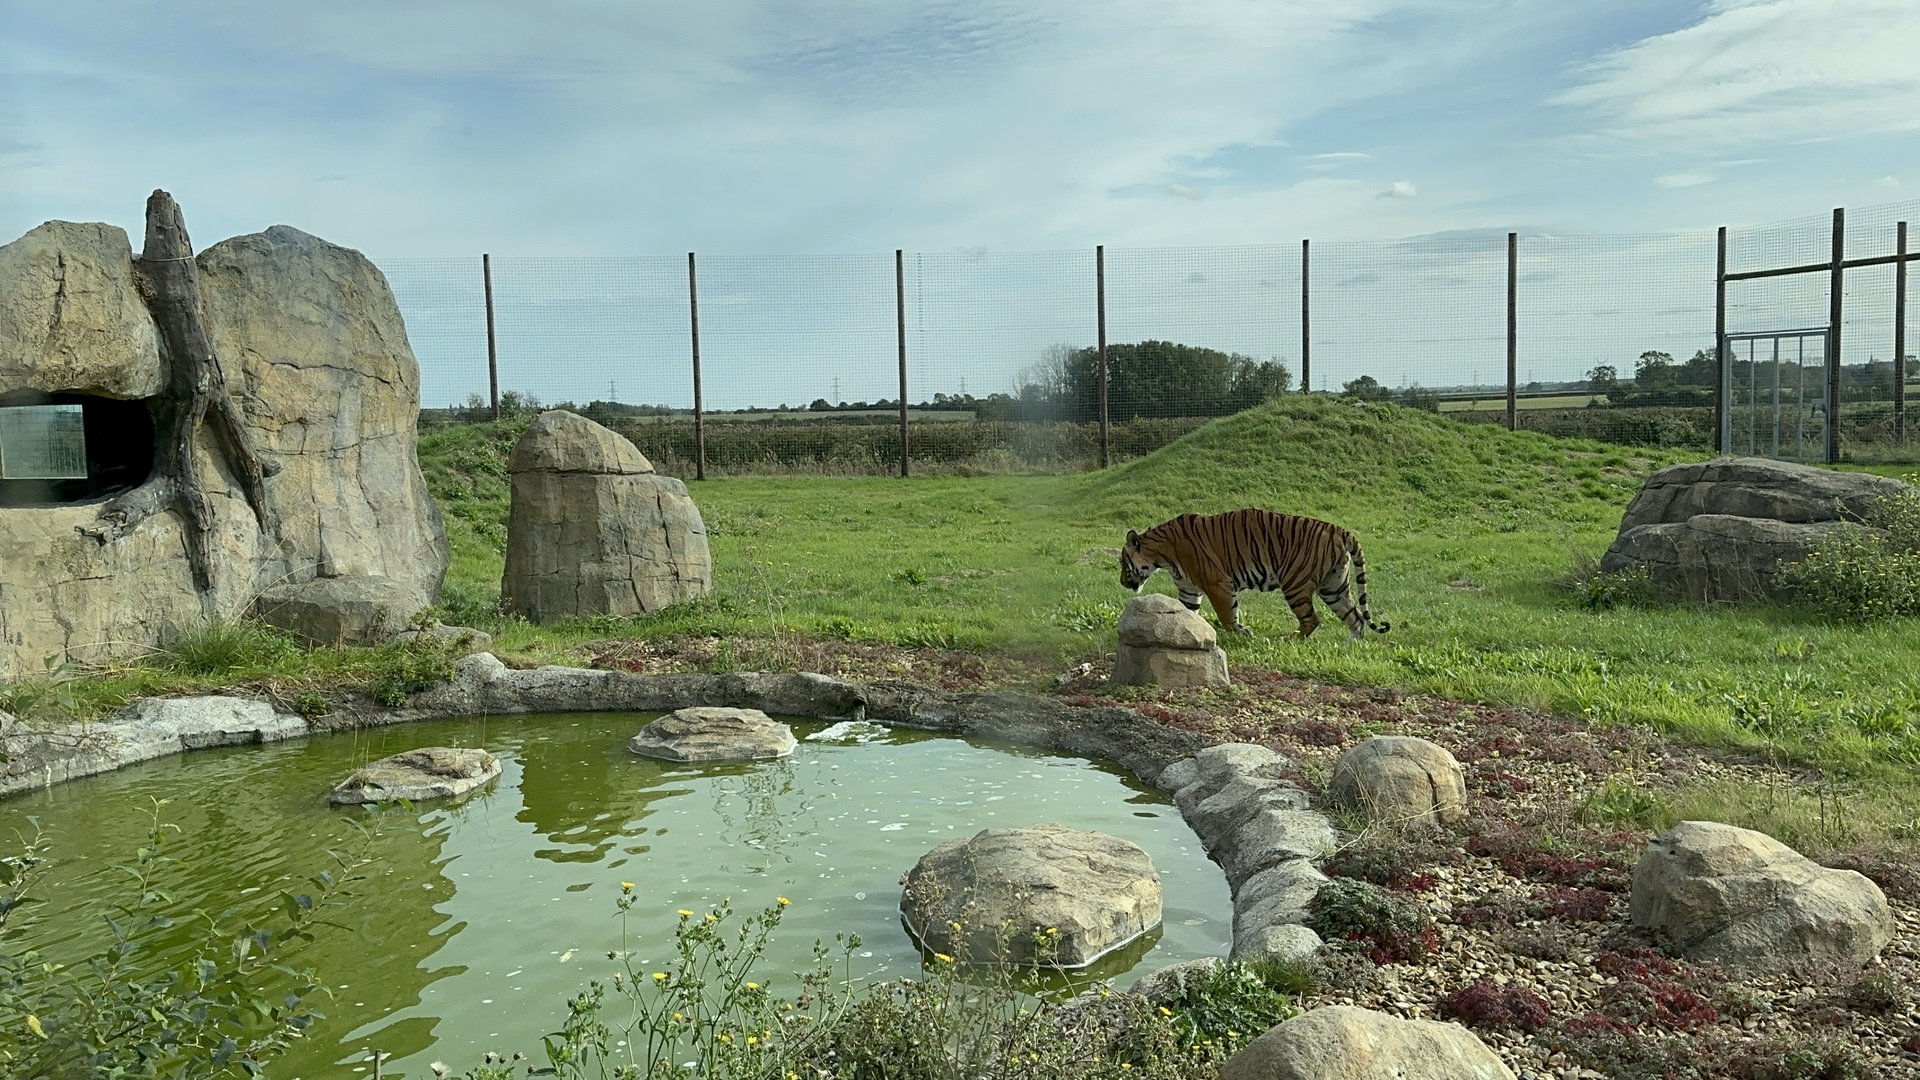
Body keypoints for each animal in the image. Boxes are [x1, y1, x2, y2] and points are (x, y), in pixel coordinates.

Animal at [1119, 508, 1390, 640]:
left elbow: (1228, 616)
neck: (1162, 555)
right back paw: (1351, 646)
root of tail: (1339, 529)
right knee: (1355, 617)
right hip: (1334, 586)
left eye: (1122, 563)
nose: (1122, 582)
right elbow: (1188, 612)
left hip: (1295, 584)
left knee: (1312, 619)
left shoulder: (1218, 584)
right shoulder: (1188, 589)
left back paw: (1290, 639)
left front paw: (1242, 633)